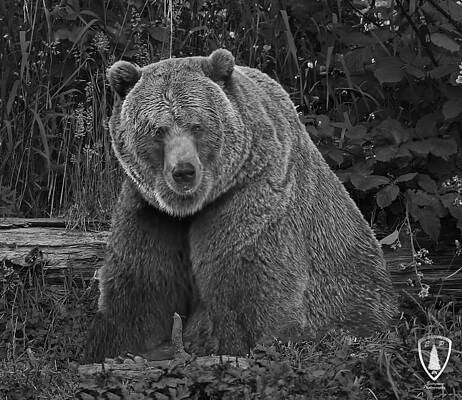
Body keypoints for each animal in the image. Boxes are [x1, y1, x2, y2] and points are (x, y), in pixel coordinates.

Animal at [85, 48, 398, 360]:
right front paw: (117, 345)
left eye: (196, 125)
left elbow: (249, 289)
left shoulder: (251, 197)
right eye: (157, 130)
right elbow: (139, 289)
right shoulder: (152, 214)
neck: (191, 207)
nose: (183, 171)